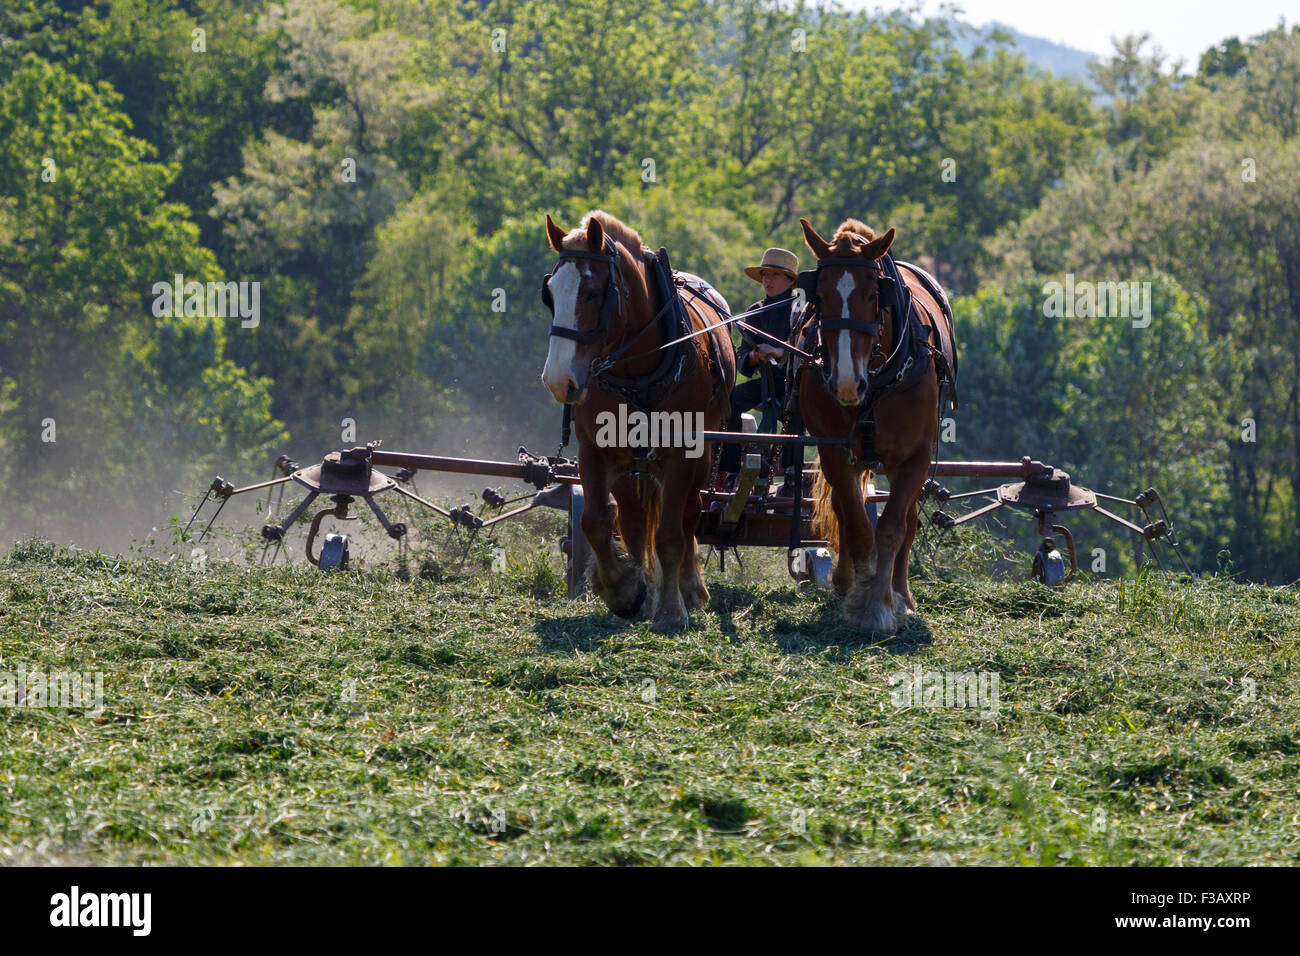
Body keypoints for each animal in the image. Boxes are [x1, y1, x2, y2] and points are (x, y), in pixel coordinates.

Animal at [538, 210, 738, 629]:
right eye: (549, 294)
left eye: (593, 292)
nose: (558, 379)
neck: (639, 374)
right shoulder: (594, 450)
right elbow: (597, 521)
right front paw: (624, 591)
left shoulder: (682, 454)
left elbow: (670, 534)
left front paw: (671, 609)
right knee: (631, 518)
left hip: (701, 456)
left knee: (689, 515)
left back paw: (689, 588)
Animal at [790, 218, 956, 634]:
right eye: (821, 297)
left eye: (871, 295)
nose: (847, 383)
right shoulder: (834, 452)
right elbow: (857, 524)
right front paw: (860, 595)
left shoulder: (915, 457)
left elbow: (894, 527)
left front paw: (881, 603)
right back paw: (846, 581)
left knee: (909, 520)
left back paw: (901, 594)